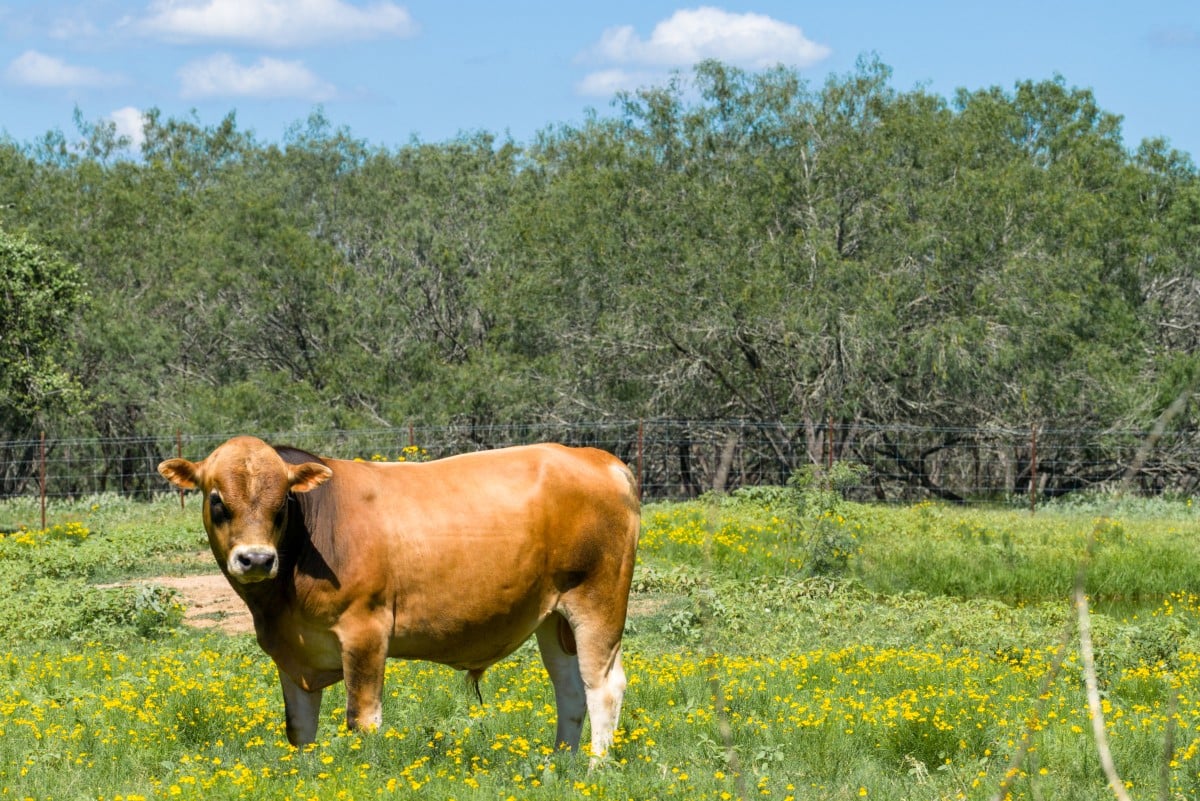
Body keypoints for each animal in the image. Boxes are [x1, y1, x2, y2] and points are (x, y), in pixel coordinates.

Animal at [157, 435, 640, 759]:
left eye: (282, 503)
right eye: (217, 500)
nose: (256, 559)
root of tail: (599, 459)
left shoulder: (366, 633)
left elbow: (362, 718)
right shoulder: (291, 652)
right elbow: (299, 727)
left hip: (598, 602)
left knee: (603, 686)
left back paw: (594, 767)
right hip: (553, 619)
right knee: (571, 688)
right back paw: (560, 764)